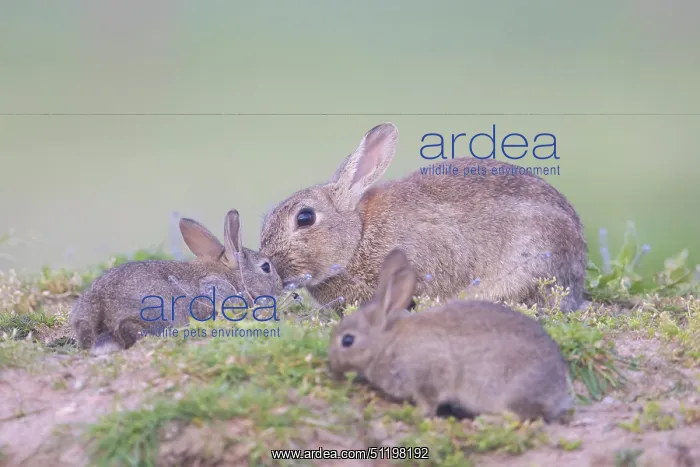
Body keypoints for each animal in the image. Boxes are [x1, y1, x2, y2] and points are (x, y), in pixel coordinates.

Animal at [327, 248, 574, 423]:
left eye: (347, 340)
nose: (332, 364)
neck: (386, 343)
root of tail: (558, 392)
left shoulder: (429, 375)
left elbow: (428, 403)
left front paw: (409, 414)